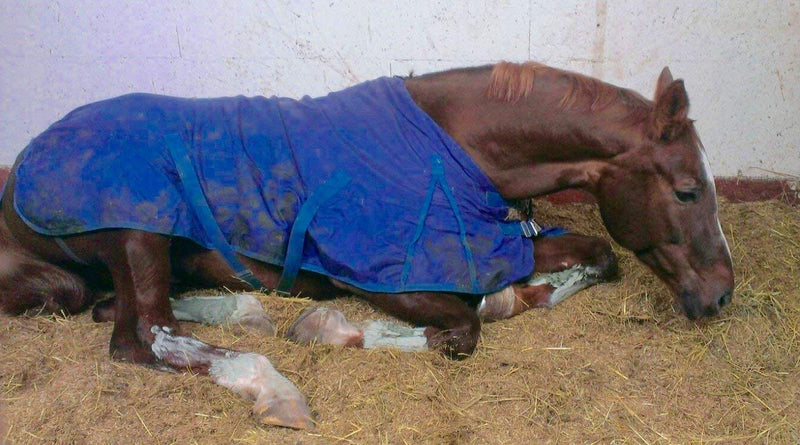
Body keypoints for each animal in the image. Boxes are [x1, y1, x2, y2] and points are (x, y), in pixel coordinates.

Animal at [0, 61, 734, 430]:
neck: (451, 150)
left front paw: (518, 294)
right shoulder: (376, 275)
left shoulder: (507, 243)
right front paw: (329, 329)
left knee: (120, 310)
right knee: (141, 337)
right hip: (140, 230)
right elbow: (461, 329)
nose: (722, 294)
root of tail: (19, 177)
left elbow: (597, 256)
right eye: (687, 189)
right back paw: (275, 386)